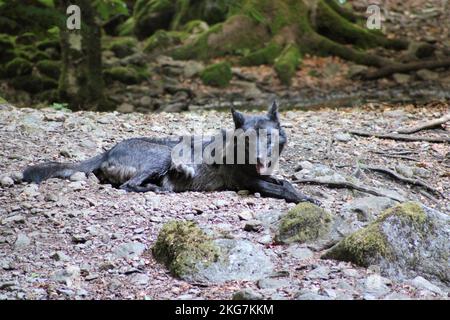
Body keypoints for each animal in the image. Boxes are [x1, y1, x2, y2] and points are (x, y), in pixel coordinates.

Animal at [22, 101, 320, 204]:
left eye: (267, 138)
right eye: (248, 141)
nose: (259, 159)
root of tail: (107, 151)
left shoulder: (265, 175)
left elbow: (286, 183)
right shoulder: (249, 182)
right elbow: (282, 189)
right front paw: (306, 199)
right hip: (163, 155)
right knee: (129, 186)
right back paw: (156, 189)